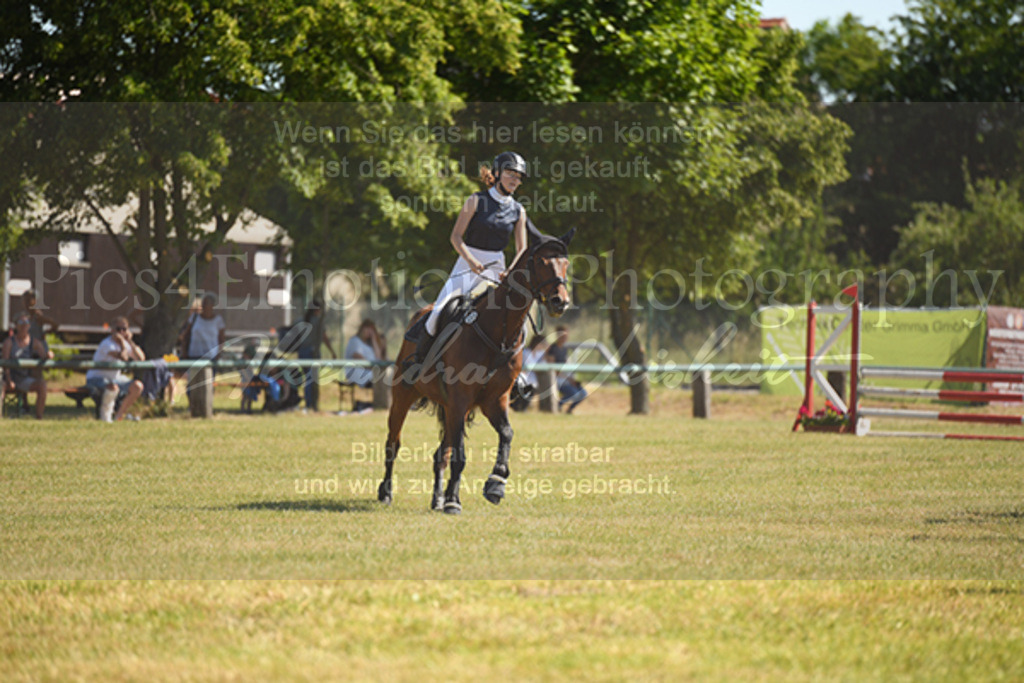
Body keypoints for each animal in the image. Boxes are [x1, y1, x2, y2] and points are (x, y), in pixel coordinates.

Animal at [380, 227, 577, 516]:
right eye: (541, 262)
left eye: (565, 263)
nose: (559, 302)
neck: (498, 332)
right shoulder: (461, 399)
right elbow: (460, 456)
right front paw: (454, 501)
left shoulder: (494, 400)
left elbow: (506, 434)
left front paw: (495, 485)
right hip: (404, 395)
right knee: (393, 444)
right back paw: (386, 493)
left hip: (450, 408)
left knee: (441, 454)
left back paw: (437, 499)